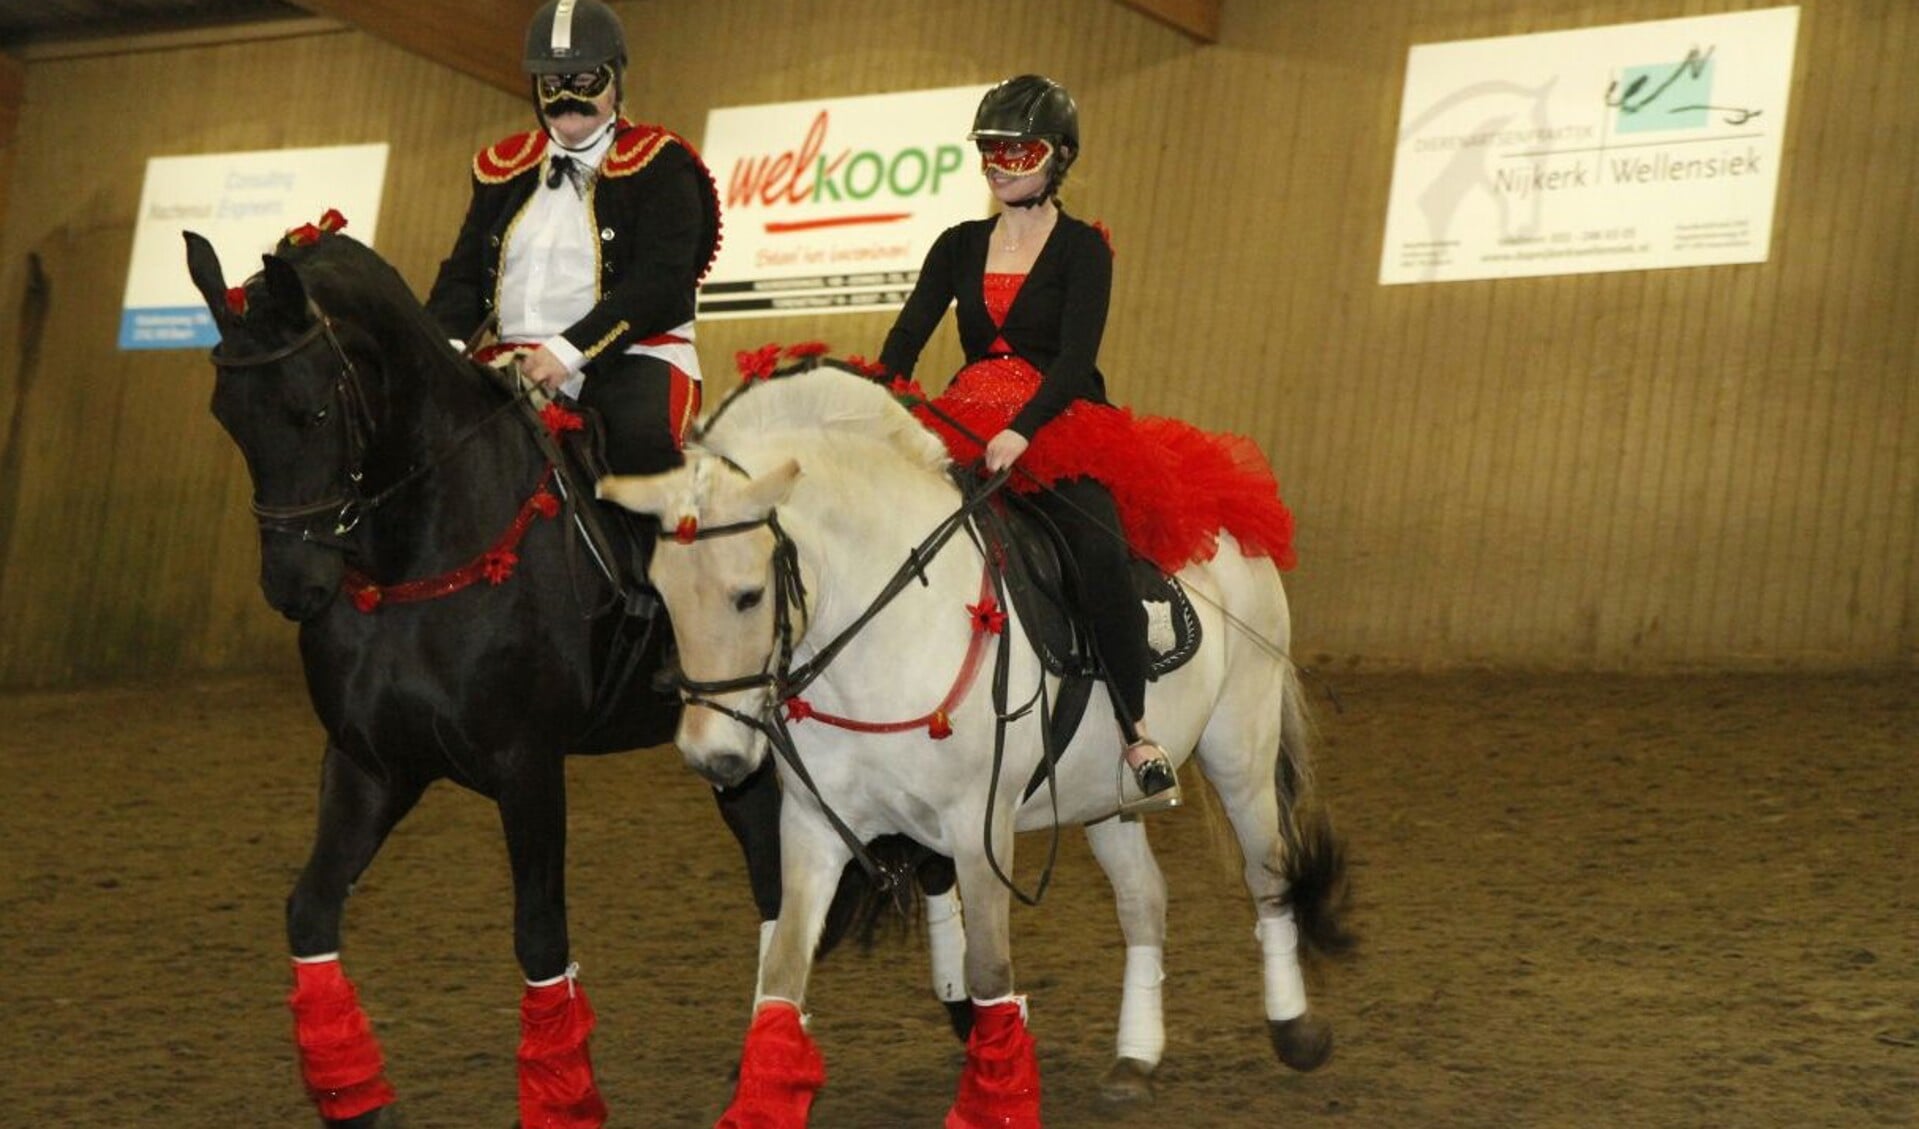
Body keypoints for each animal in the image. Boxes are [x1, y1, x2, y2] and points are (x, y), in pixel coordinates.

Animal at [180, 224, 779, 1121]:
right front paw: (353, 1092)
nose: (293, 585)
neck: (420, 545)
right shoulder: (370, 765)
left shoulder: (526, 764)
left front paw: (564, 1097)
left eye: (312, 409)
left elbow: (539, 934)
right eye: (229, 418)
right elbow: (310, 911)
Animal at [598, 366, 1350, 1121]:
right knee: (1145, 898)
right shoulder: (814, 823)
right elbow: (782, 970)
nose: (712, 756)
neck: (880, 626)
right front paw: (759, 1105)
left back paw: (1294, 1029)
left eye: (749, 596)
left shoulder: (976, 827)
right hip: (1103, 797)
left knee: (1267, 875)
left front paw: (995, 1104)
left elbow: (988, 974)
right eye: (660, 592)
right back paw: (1134, 1060)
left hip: (1241, 749)